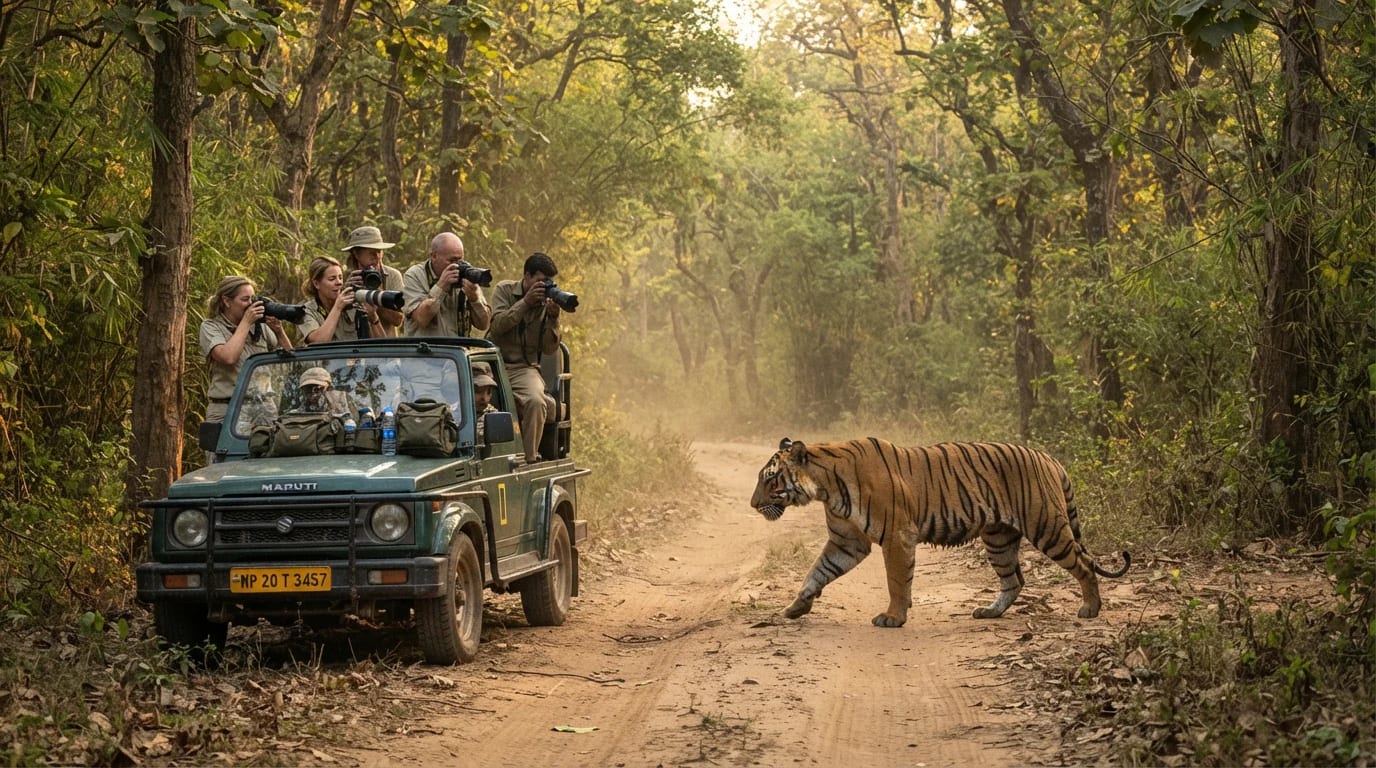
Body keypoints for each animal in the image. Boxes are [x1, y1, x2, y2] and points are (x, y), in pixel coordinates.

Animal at [750, 437, 1130, 627]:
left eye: (771, 479)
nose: (753, 505)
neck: (825, 486)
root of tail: (1051, 459)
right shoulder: (847, 541)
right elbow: (817, 572)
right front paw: (796, 607)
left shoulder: (897, 536)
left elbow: (896, 580)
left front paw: (893, 617)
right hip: (999, 538)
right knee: (1014, 580)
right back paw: (989, 612)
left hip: (1047, 526)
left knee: (1083, 564)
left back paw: (1091, 609)